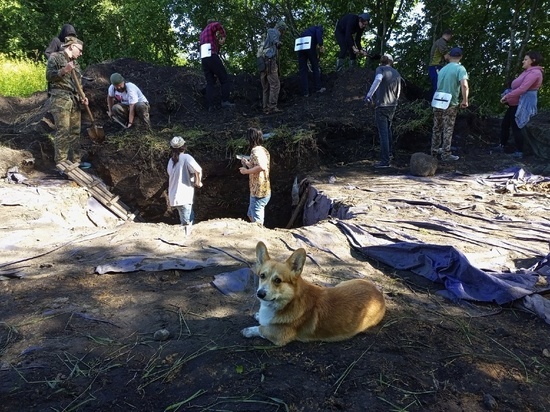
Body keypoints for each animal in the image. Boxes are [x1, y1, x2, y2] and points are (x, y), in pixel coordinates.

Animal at [242, 240, 388, 346]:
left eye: (277, 280)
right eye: (262, 276)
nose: (260, 294)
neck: (288, 301)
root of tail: (379, 292)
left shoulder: (279, 336)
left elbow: (261, 329)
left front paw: (248, 330)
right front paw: (258, 316)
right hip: (343, 283)